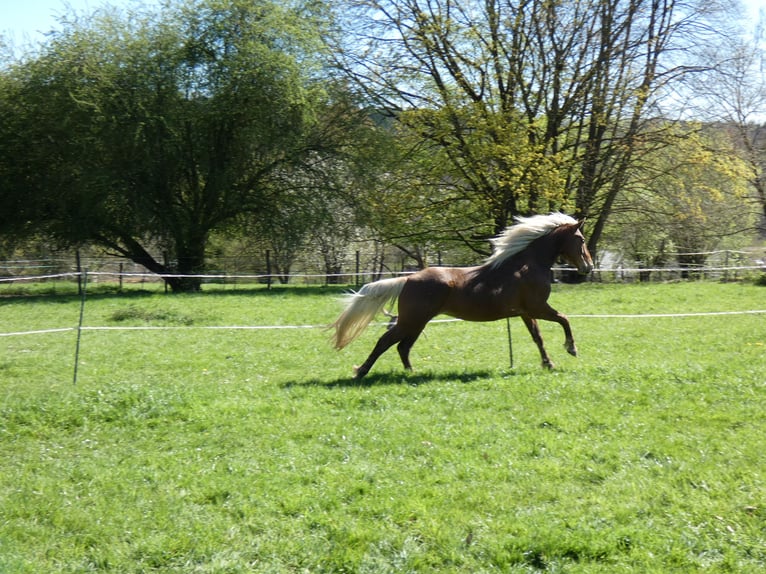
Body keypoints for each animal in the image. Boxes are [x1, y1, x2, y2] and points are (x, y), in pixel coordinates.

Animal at [331, 213, 594, 378]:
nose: (588, 267)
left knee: (402, 347)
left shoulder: (526, 312)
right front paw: (571, 349)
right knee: (385, 342)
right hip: (412, 320)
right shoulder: (538, 307)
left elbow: (538, 338)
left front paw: (548, 363)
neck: (526, 265)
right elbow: (564, 319)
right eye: (580, 239)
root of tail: (407, 279)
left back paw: (411, 373)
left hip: (417, 322)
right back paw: (361, 372)